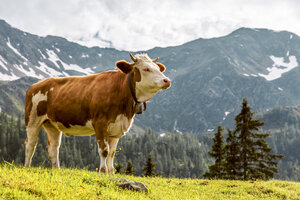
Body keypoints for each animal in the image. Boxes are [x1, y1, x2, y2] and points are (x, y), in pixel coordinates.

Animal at [24, 52, 170, 173]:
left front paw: (111, 173)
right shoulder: (100, 124)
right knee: (30, 144)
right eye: (146, 69)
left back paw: (57, 169)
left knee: (53, 148)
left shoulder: (116, 130)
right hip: (32, 120)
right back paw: (27, 167)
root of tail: (35, 85)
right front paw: (103, 171)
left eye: (158, 69)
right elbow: (104, 151)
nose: (167, 80)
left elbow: (112, 153)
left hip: (52, 124)